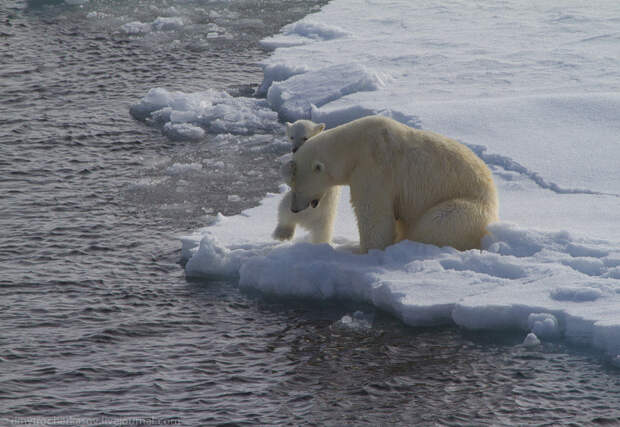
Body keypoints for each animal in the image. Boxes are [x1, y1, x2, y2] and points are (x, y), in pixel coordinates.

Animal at [290, 115, 498, 252]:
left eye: (297, 186)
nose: (294, 209)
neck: (353, 147)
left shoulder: (375, 168)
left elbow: (374, 213)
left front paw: (362, 250)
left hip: (467, 209)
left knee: (436, 222)